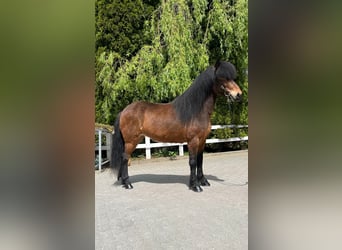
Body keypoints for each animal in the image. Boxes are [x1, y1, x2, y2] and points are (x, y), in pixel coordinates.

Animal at [111, 61, 242, 192]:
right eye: (222, 78)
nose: (238, 94)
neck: (196, 110)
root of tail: (124, 111)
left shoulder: (202, 140)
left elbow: (200, 160)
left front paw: (203, 181)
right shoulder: (193, 141)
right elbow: (193, 162)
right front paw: (195, 185)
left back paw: (123, 182)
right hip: (131, 141)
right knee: (125, 158)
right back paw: (127, 183)